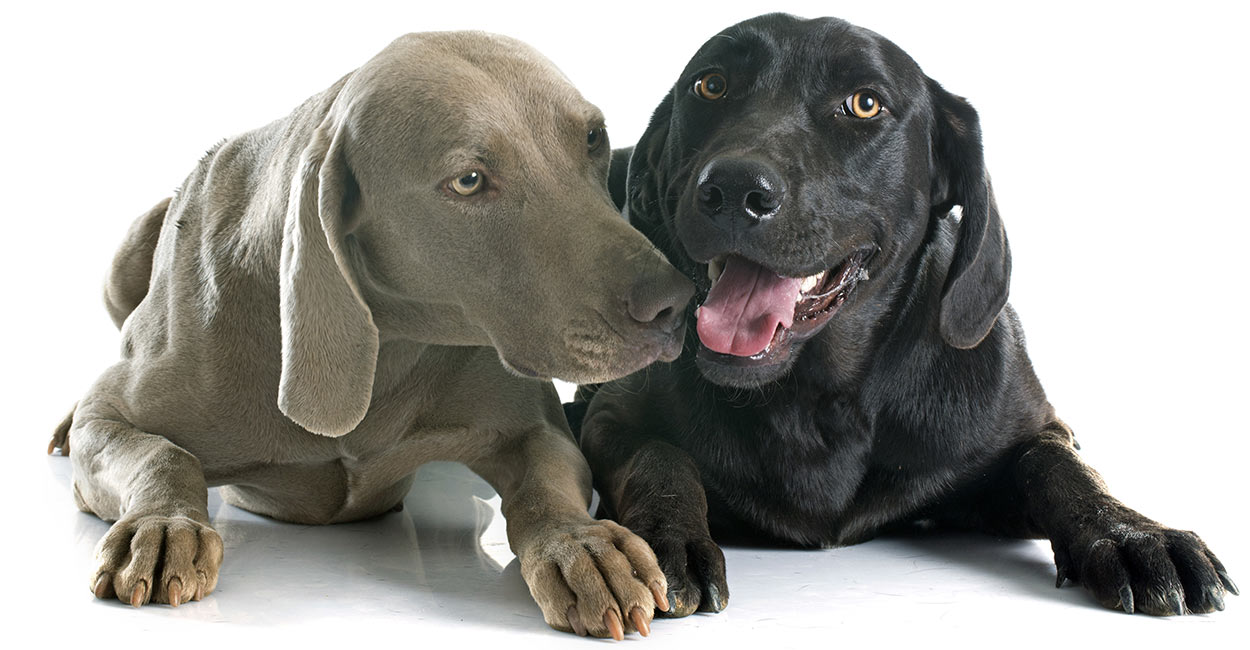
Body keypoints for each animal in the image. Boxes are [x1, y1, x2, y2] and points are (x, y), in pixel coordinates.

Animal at [46, 31, 695, 640]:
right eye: (468, 181)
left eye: (593, 137)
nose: (674, 303)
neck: (390, 344)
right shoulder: (114, 415)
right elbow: (160, 450)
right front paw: (162, 527)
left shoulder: (536, 430)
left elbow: (547, 481)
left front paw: (583, 545)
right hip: (127, 252)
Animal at [572, 12, 1235, 617]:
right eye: (710, 85)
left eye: (865, 104)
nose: (734, 189)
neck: (818, 398)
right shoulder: (615, 419)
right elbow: (659, 458)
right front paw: (663, 540)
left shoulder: (1038, 431)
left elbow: (1061, 467)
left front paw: (1134, 534)